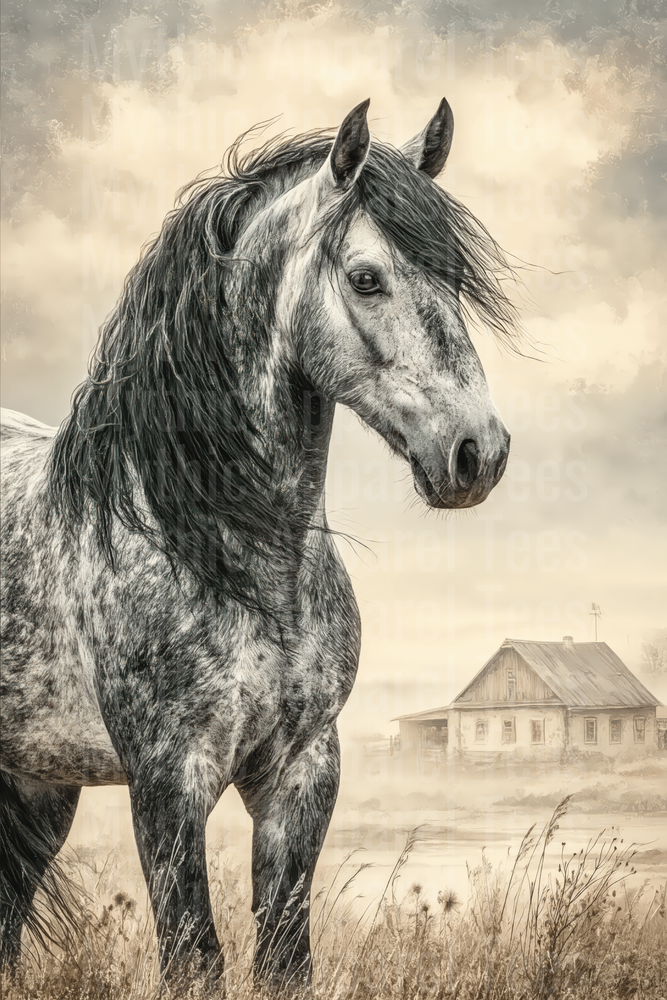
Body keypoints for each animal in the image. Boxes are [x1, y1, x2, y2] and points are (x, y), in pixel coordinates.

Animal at [0, 97, 517, 986]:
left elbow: (283, 960)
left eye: (452, 279)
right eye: (366, 277)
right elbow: (194, 962)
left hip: (39, 784)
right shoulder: (168, 784)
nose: (476, 453)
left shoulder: (300, 773)